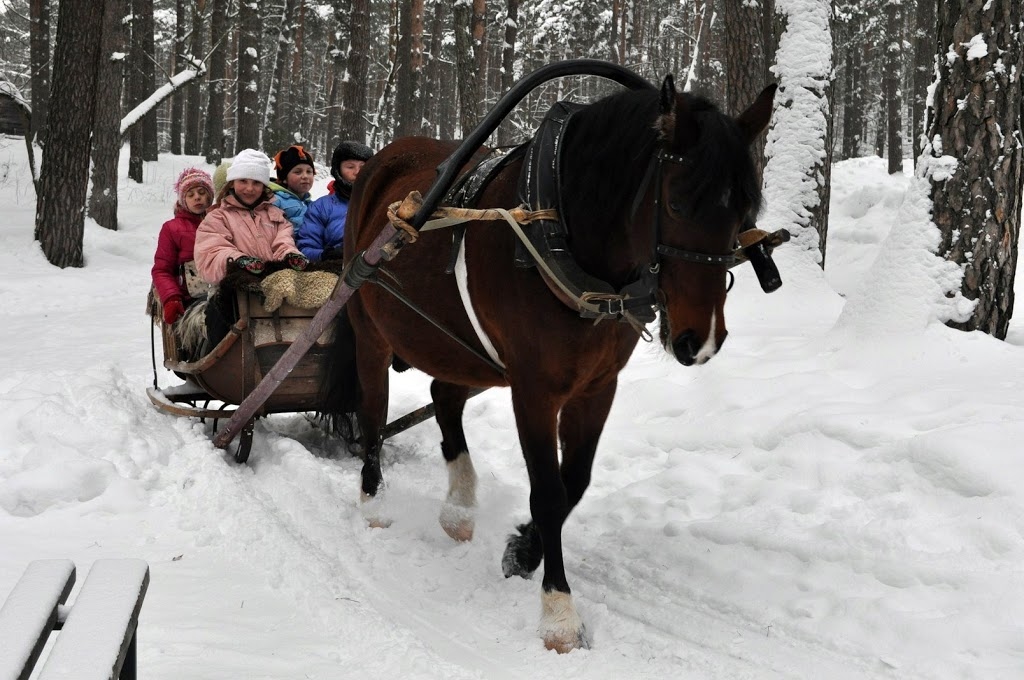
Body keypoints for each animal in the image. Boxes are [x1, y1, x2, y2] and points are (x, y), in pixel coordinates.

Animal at [331, 75, 770, 655]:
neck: (563, 233)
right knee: (374, 414)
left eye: (745, 211)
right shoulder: (534, 390)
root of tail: (384, 159)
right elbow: (548, 490)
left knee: (444, 399)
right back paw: (373, 502)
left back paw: (459, 508)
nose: (700, 341)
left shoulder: (596, 387)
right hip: (371, 330)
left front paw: (522, 551)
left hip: (461, 347)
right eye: (676, 203)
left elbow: (573, 484)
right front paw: (559, 614)